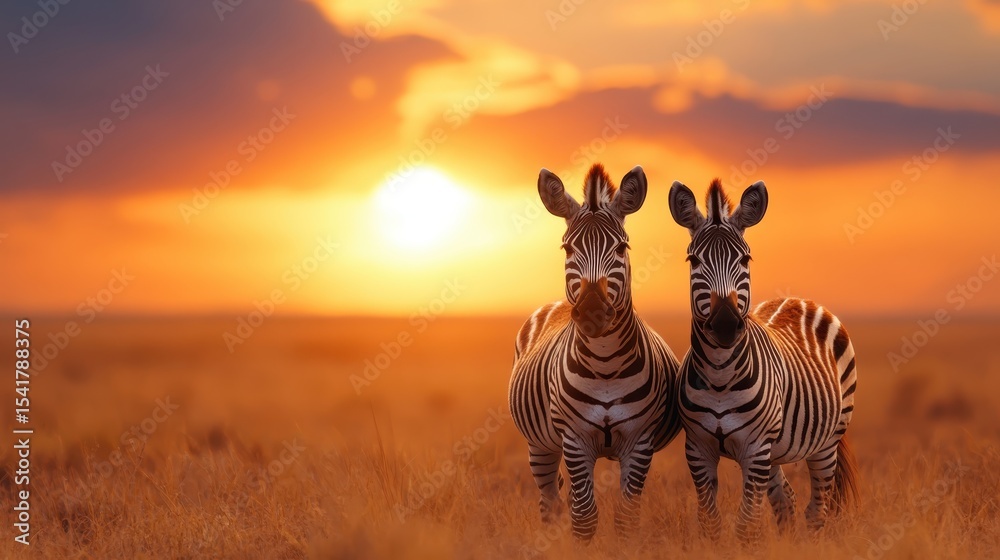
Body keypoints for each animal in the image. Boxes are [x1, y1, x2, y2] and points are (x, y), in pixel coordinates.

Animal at [508, 163, 682, 541]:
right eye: (567, 249)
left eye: (621, 247)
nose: (591, 312)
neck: (605, 364)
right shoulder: (574, 439)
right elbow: (585, 518)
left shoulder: (639, 441)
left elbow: (626, 519)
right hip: (539, 445)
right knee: (551, 502)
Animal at [667, 178, 858, 542]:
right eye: (693, 259)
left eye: (745, 257)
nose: (725, 324)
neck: (719, 375)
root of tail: (798, 299)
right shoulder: (698, 448)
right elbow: (710, 522)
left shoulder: (755, 449)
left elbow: (747, 525)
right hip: (776, 450)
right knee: (787, 501)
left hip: (827, 440)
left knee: (817, 509)